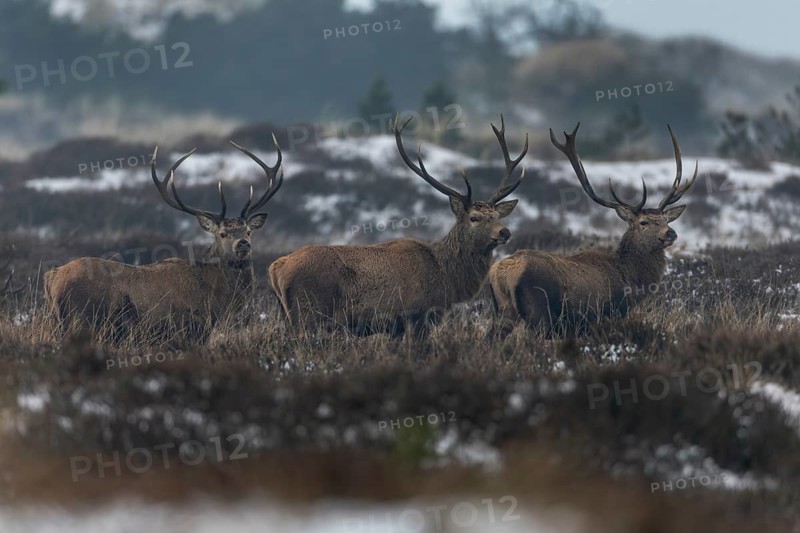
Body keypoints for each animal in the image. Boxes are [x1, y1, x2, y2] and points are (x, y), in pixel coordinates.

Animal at [44, 138, 284, 342]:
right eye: (223, 233)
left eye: (248, 231)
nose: (242, 244)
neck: (215, 298)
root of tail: (53, 278)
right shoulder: (187, 331)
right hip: (81, 319)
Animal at [268, 115, 528, 337]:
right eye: (474, 217)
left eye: (497, 215)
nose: (504, 232)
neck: (447, 277)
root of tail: (276, 268)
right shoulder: (417, 316)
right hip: (309, 314)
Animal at [489, 123, 696, 337]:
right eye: (644, 222)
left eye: (666, 220)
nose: (670, 233)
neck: (630, 280)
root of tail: (502, 274)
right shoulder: (606, 314)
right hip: (538, 311)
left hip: (503, 311)